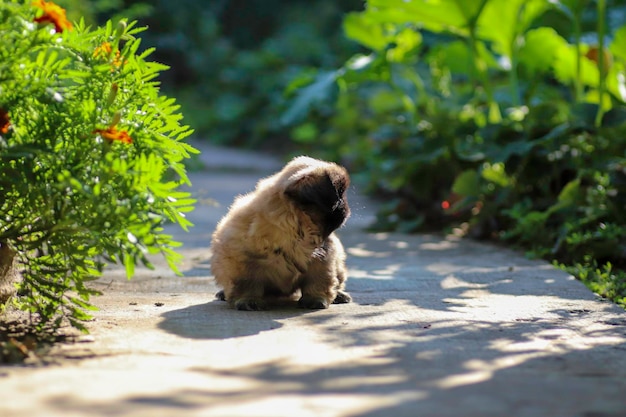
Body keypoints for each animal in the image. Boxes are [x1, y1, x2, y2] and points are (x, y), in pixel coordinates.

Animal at [211, 155, 352, 308]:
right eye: (338, 197)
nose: (346, 210)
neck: (296, 232)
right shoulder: (244, 263)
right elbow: (248, 284)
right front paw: (249, 300)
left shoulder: (323, 259)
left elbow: (319, 281)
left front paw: (315, 299)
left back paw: (340, 295)